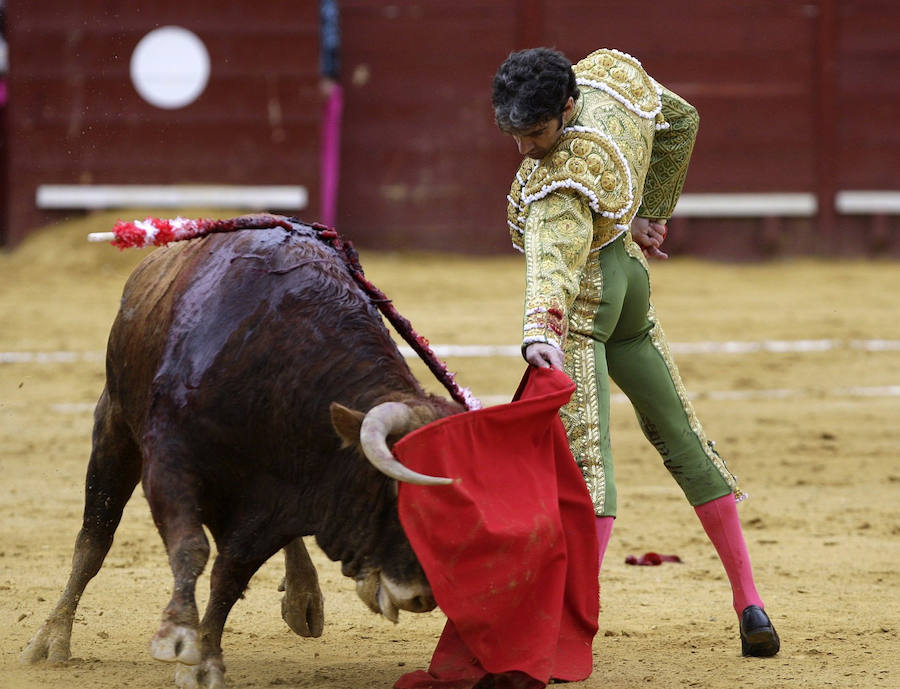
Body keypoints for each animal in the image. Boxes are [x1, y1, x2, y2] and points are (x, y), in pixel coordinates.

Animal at [21, 218, 464, 688]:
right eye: (394, 493)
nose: (421, 597)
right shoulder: (169, 465)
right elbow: (190, 548)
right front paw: (178, 637)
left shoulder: (276, 503)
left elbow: (229, 574)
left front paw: (204, 661)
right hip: (115, 427)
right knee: (95, 537)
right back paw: (50, 640)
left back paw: (303, 597)